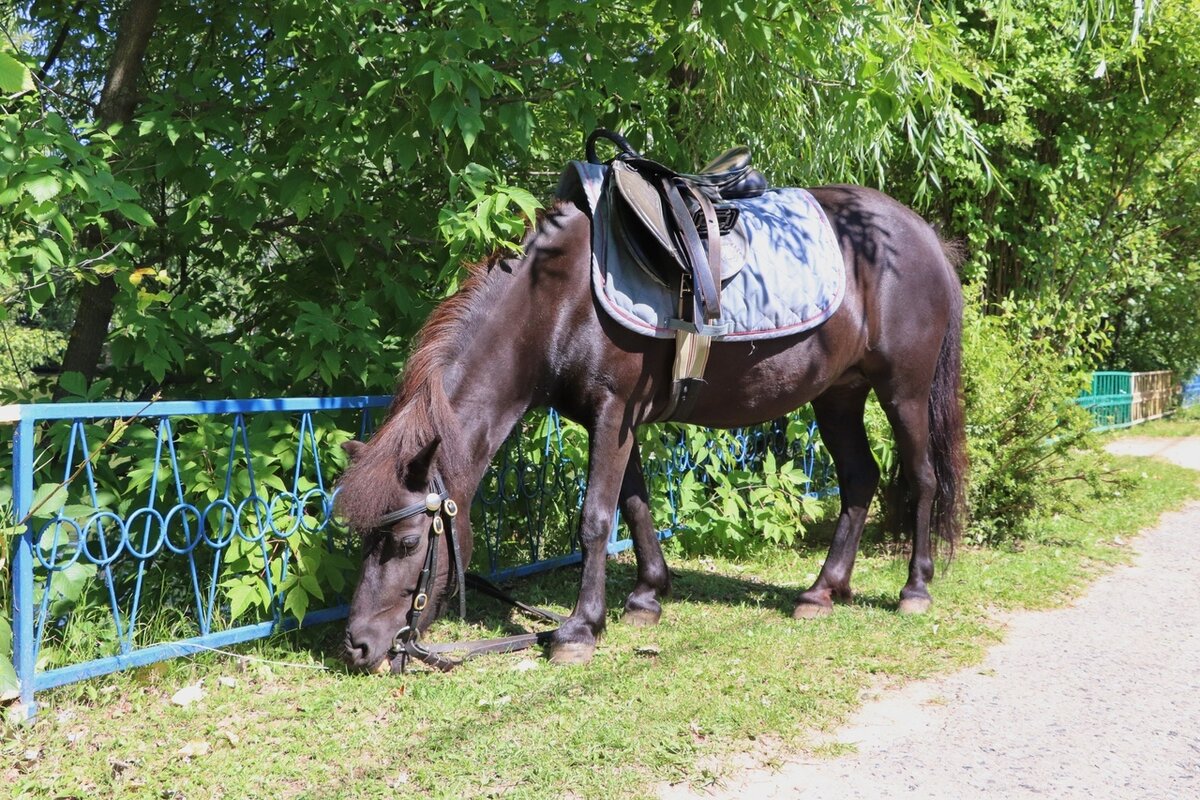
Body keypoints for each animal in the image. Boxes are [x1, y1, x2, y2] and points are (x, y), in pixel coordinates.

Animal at [336, 179, 964, 671]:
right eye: (363, 538)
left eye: (407, 541)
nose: (358, 647)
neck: (558, 300)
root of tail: (926, 236)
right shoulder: (618, 420)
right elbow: (635, 505)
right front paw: (645, 599)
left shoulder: (613, 413)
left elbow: (594, 519)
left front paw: (580, 629)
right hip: (838, 395)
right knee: (859, 479)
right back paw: (823, 590)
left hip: (904, 392)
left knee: (922, 478)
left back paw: (914, 588)